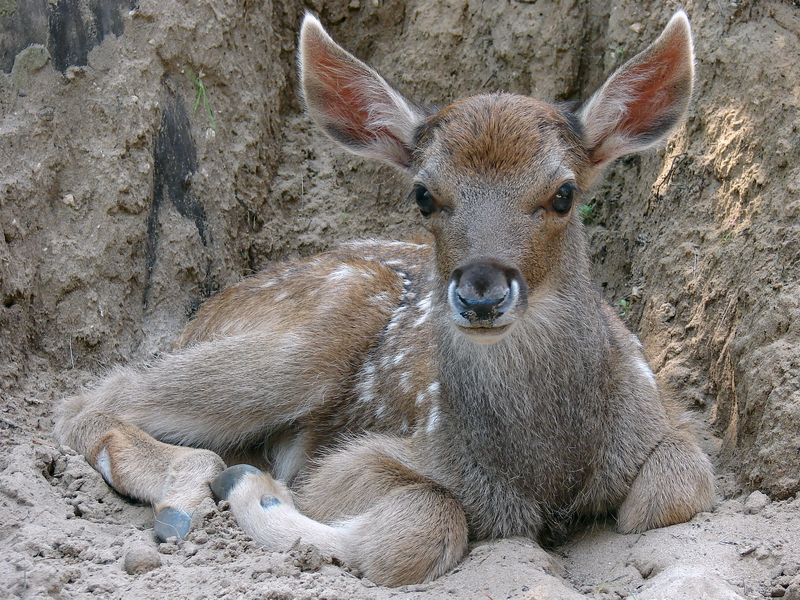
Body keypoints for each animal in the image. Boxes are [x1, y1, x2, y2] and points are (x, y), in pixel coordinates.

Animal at [54, 11, 715, 587]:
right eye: (424, 195)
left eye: (563, 193)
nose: (480, 294)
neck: (546, 467)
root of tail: (204, 315)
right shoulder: (351, 462)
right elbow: (423, 524)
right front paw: (260, 492)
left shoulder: (664, 412)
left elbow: (675, 490)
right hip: (320, 329)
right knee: (90, 401)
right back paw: (188, 497)